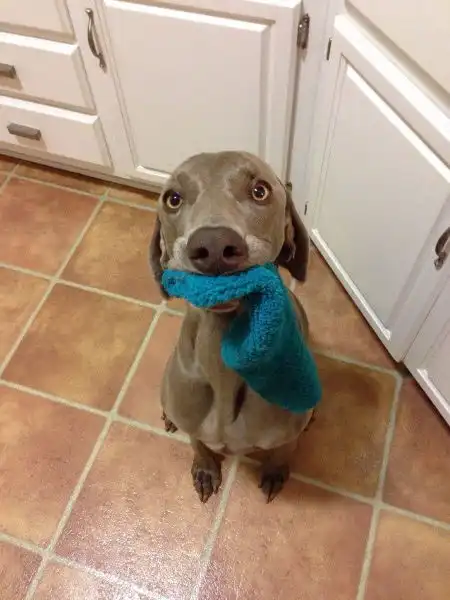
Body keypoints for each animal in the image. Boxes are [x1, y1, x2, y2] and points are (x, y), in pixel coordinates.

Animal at [149, 151, 315, 503]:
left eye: (260, 191)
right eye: (173, 199)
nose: (213, 246)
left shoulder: (286, 433)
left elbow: (283, 450)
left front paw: (275, 472)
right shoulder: (195, 421)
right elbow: (198, 443)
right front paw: (205, 469)